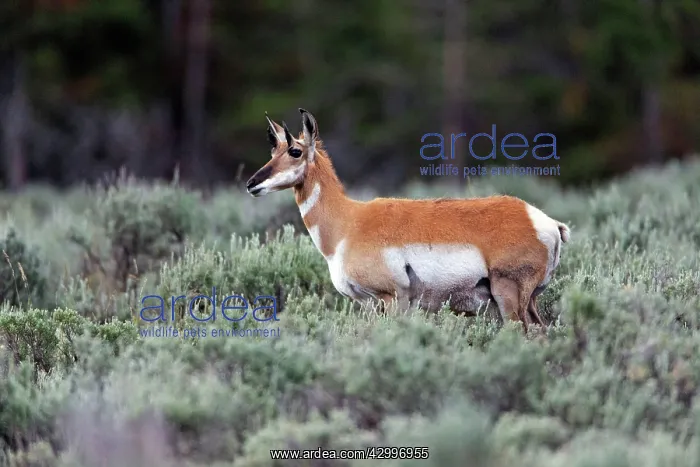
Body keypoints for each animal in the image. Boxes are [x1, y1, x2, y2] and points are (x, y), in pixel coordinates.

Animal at [246, 108, 571, 332]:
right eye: (273, 149)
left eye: (295, 151)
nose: (251, 184)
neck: (349, 223)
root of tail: (545, 222)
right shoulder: (367, 304)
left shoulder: (391, 299)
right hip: (528, 301)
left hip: (508, 296)